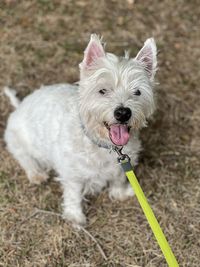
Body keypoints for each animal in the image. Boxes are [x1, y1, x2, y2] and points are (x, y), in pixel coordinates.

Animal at [4, 34, 156, 226]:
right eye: (102, 90)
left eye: (137, 92)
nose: (123, 113)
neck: (103, 145)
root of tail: (19, 105)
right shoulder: (72, 174)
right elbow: (73, 194)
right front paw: (75, 217)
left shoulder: (121, 166)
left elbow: (118, 178)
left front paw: (120, 193)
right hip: (17, 138)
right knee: (24, 157)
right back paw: (37, 174)